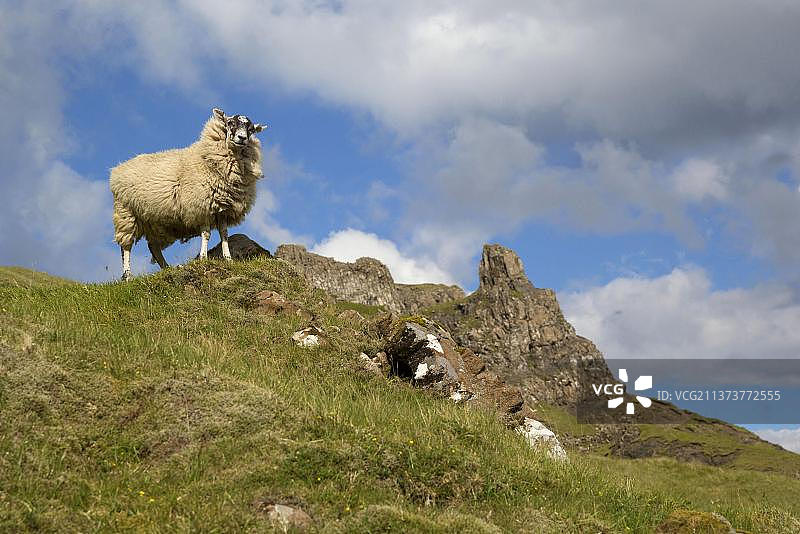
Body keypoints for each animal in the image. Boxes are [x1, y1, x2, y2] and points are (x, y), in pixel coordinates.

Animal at [110, 108, 268, 280]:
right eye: (230, 122)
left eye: (251, 129)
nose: (242, 138)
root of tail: (118, 168)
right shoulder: (203, 207)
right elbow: (206, 234)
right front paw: (204, 258)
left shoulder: (222, 209)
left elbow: (224, 234)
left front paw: (228, 258)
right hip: (126, 214)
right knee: (126, 246)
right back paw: (127, 274)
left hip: (155, 222)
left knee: (153, 247)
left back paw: (167, 268)